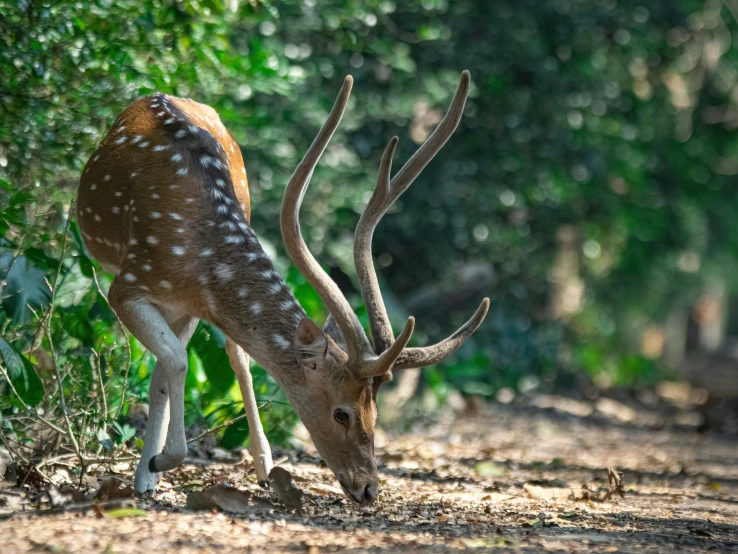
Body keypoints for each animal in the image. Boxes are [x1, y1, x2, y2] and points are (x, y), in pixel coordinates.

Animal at [76, 68, 488, 500]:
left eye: (375, 412)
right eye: (342, 413)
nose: (368, 489)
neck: (198, 261)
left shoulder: (188, 305)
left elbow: (169, 366)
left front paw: (152, 469)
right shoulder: (128, 285)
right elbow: (176, 360)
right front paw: (157, 466)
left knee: (233, 355)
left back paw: (262, 463)